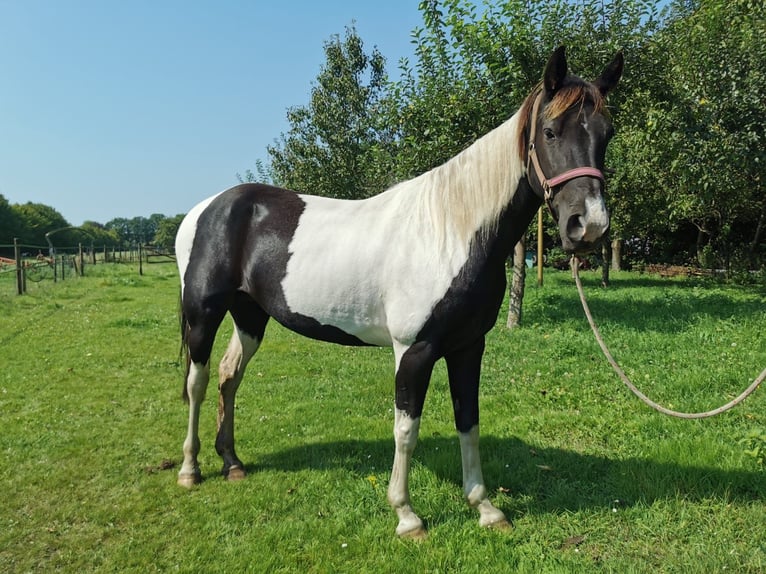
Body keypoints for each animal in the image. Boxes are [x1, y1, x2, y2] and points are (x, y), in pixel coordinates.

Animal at [174, 47, 624, 544]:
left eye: (607, 134)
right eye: (549, 131)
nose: (589, 226)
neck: (452, 232)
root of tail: (206, 208)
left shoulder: (469, 347)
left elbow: (469, 421)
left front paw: (485, 508)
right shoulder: (414, 350)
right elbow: (406, 429)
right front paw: (407, 515)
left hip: (250, 316)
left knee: (229, 376)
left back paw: (232, 462)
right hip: (203, 314)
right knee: (196, 383)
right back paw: (190, 470)